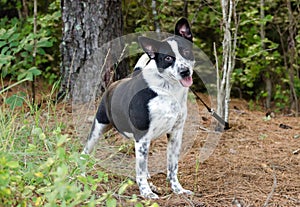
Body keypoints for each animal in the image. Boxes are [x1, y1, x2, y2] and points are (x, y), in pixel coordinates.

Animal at [82, 17, 195, 199]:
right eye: (168, 58)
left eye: (185, 50)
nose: (185, 71)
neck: (167, 88)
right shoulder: (142, 136)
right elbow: (140, 171)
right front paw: (146, 193)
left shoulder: (175, 134)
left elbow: (173, 167)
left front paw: (178, 190)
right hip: (98, 128)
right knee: (85, 152)